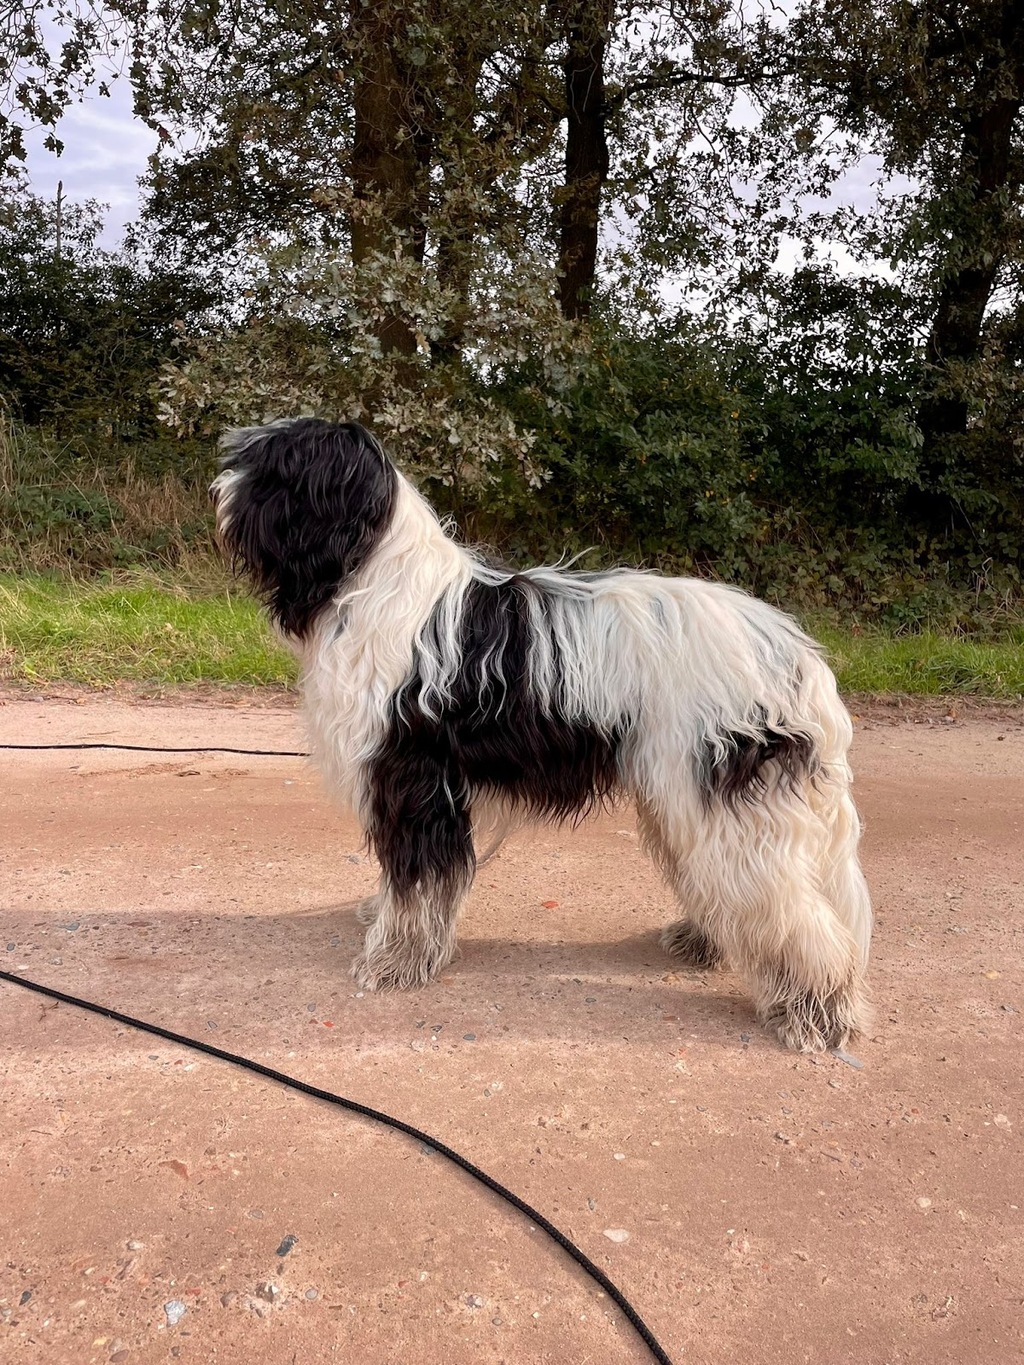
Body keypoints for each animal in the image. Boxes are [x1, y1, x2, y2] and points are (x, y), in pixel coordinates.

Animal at [212, 417, 872, 1051]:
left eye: (270, 470)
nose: (218, 491)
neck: (378, 582)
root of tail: (794, 651)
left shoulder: (416, 779)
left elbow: (417, 882)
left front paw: (396, 961)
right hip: (684, 793)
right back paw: (704, 941)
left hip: (719, 790)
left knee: (796, 914)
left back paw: (816, 1013)